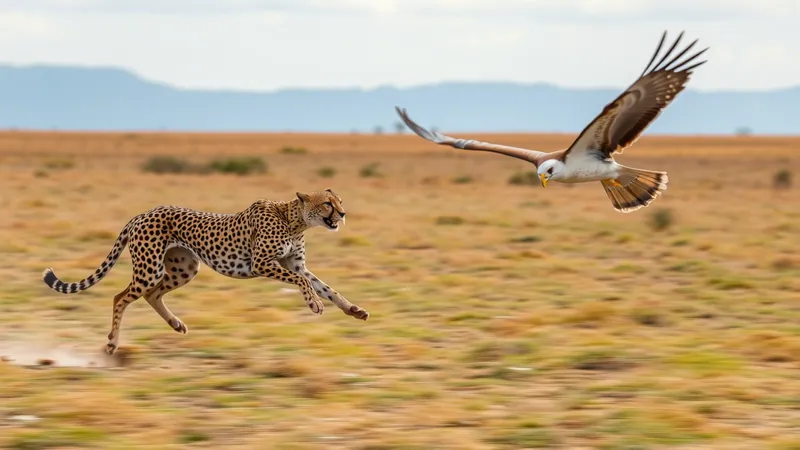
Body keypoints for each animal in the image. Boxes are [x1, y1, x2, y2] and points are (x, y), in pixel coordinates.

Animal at [41, 188, 368, 354]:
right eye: (327, 204)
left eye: (340, 201)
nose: (343, 214)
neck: (293, 219)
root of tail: (143, 213)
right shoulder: (262, 263)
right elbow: (303, 282)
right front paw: (314, 304)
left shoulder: (294, 263)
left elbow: (326, 286)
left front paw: (354, 309)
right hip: (149, 268)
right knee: (120, 297)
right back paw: (112, 343)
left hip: (185, 268)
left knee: (152, 295)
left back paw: (176, 324)